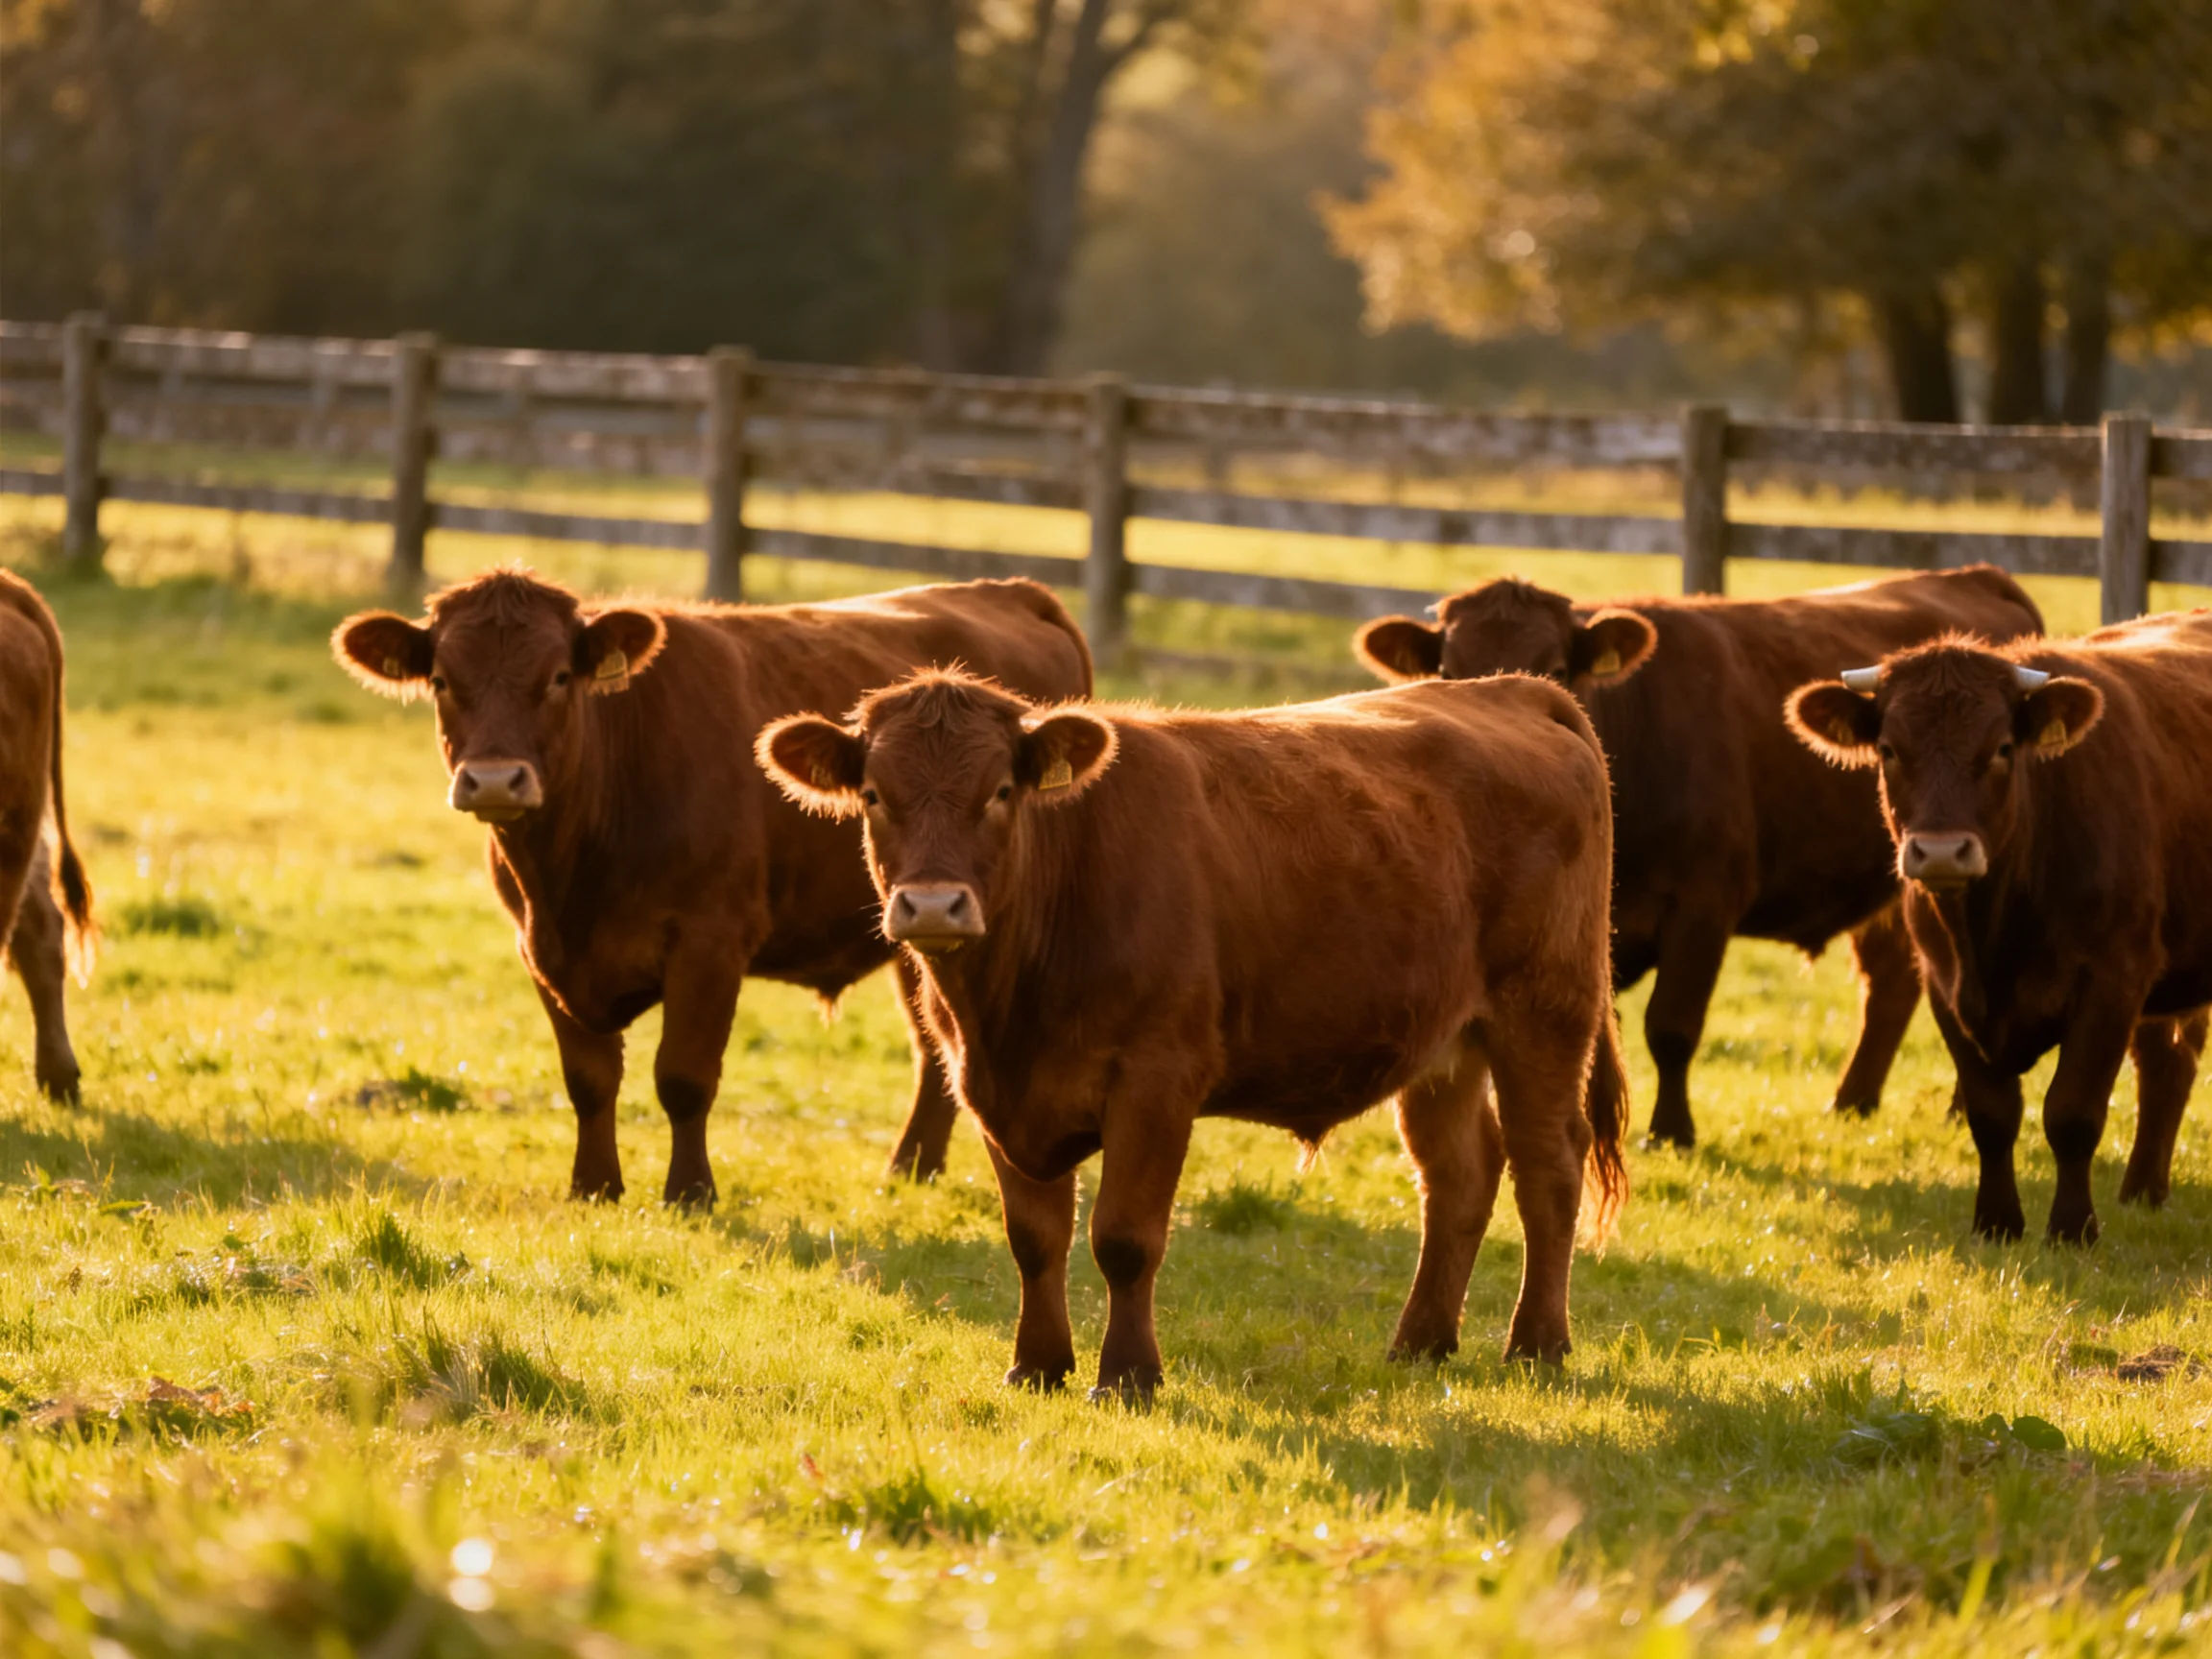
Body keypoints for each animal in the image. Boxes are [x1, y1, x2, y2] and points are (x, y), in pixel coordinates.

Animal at [331, 568, 1092, 1205]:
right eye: (441, 680)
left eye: (558, 677)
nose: (494, 780)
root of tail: (1007, 590)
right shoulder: (540, 950)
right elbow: (589, 1079)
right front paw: (594, 1186)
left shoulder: (709, 942)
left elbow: (683, 1076)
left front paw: (690, 1192)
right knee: (935, 1049)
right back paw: (911, 1170)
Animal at [757, 668, 1627, 1400]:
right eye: (874, 794)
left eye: (1001, 791)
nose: (933, 905)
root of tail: (1509, 688)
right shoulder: (993, 1090)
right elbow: (1034, 1237)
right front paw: (1037, 1366)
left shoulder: (1156, 1077)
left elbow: (1124, 1237)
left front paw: (1128, 1376)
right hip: (1444, 1042)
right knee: (1459, 1176)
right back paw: (1420, 1343)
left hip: (1544, 1012)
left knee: (1548, 1167)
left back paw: (1537, 1346)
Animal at [1355, 566, 2044, 1147]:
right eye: (1447, 672)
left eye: (1556, 667)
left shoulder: (1704, 904)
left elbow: (1671, 1026)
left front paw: (1671, 1132)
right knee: (1893, 983)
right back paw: (1853, 1102)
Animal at [1787, 610, 2212, 1244]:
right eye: (1888, 749)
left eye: (2003, 748)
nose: (1941, 853)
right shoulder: (1945, 986)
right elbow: (1992, 1115)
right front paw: (1996, 1223)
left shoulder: (2114, 980)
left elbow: (2072, 1112)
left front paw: (2072, 1230)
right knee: (2167, 1066)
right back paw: (2142, 1192)